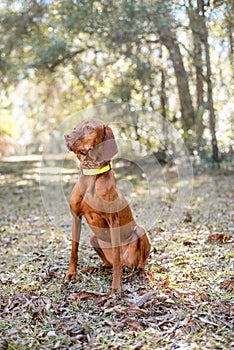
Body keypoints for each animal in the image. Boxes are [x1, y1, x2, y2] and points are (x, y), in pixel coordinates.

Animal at [64, 119, 151, 292]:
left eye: (89, 127)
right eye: (76, 127)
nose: (67, 136)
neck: (92, 176)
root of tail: (128, 264)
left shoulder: (113, 221)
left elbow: (117, 259)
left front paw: (116, 286)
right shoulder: (76, 218)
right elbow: (74, 251)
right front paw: (71, 274)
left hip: (140, 231)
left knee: (136, 263)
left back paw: (141, 273)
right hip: (93, 238)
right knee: (107, 264)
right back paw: (93, 268)